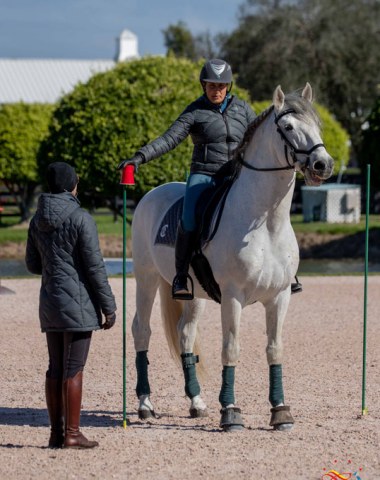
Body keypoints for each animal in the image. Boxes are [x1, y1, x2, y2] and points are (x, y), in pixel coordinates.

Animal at [130, 82, 332, 432]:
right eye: (288, 127)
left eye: (317, 125)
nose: (323, 164)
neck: (265, 222)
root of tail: (152, 194)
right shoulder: (233, 296)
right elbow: (231, 348)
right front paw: (231, 412)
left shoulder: (279, 297)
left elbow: (274, 349)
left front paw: (281, 411)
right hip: (146, 279)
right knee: (142, 330)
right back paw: (145, 405)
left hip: (192, 294)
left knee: (185, 335)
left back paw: (196, 403)